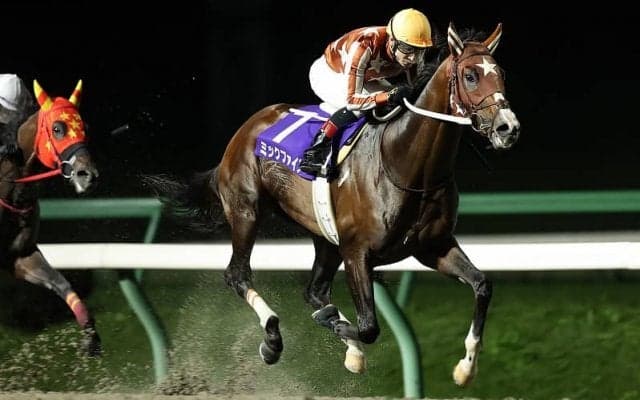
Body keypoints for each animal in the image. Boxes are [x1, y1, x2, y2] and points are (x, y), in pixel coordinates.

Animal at [0, 79, 101, 356]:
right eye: (57, 128)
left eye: (86, 128)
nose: (87, 175)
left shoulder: (20, 257)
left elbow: (61, 283)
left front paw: (90, 335)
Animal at [146, 22, 519, 387]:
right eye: (470, 75)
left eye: (500, 72)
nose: (508, 128)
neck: (404, 162)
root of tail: (243, 131)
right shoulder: (357, 253)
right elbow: (368, 327)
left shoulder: (433, 247)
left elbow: (482, 286)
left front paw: (466, 367)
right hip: (246, 211)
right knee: (238, 275)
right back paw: (273, 339)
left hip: (325, 238)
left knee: (314, 291)